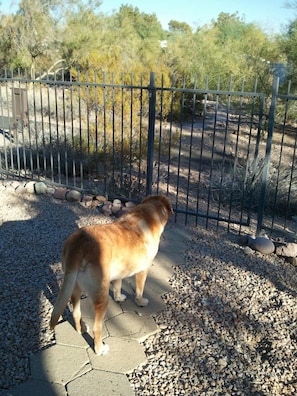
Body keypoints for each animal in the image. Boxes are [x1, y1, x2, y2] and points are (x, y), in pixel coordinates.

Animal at [49, 195, 172, 356]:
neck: (147, 213)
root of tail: (80, 244)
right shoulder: (143, 270)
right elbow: (140, 289)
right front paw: (140, 302)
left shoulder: (120, 271)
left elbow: (118, 285)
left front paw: (119, 297)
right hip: (101, 296)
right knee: (97, 328)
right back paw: (100, 349)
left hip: (75, 287)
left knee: (76, 311)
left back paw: (81, 329)